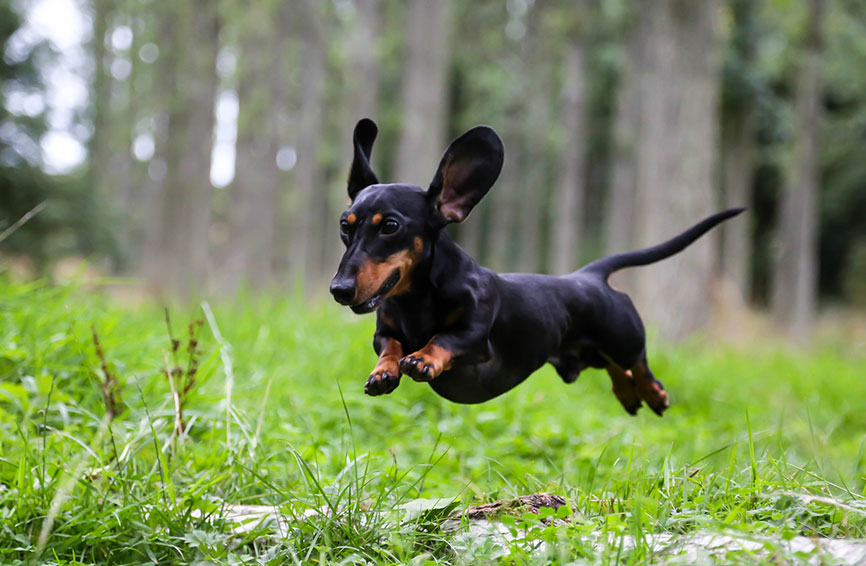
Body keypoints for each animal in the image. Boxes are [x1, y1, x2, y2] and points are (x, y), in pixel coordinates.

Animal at [328, 117, 740, 414]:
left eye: (391, 226)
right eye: (344, 226)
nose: (339, 290)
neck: (417, 299)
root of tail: (588, 275)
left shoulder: (475, 337)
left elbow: (443, 338)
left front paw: (424, 358)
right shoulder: (385, 331)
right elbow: (391, 346)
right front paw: (383, 371)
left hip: (623, 336)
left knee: (637, 361)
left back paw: (654, 394)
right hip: (590, 351)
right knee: (614, 367)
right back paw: (628, 394)